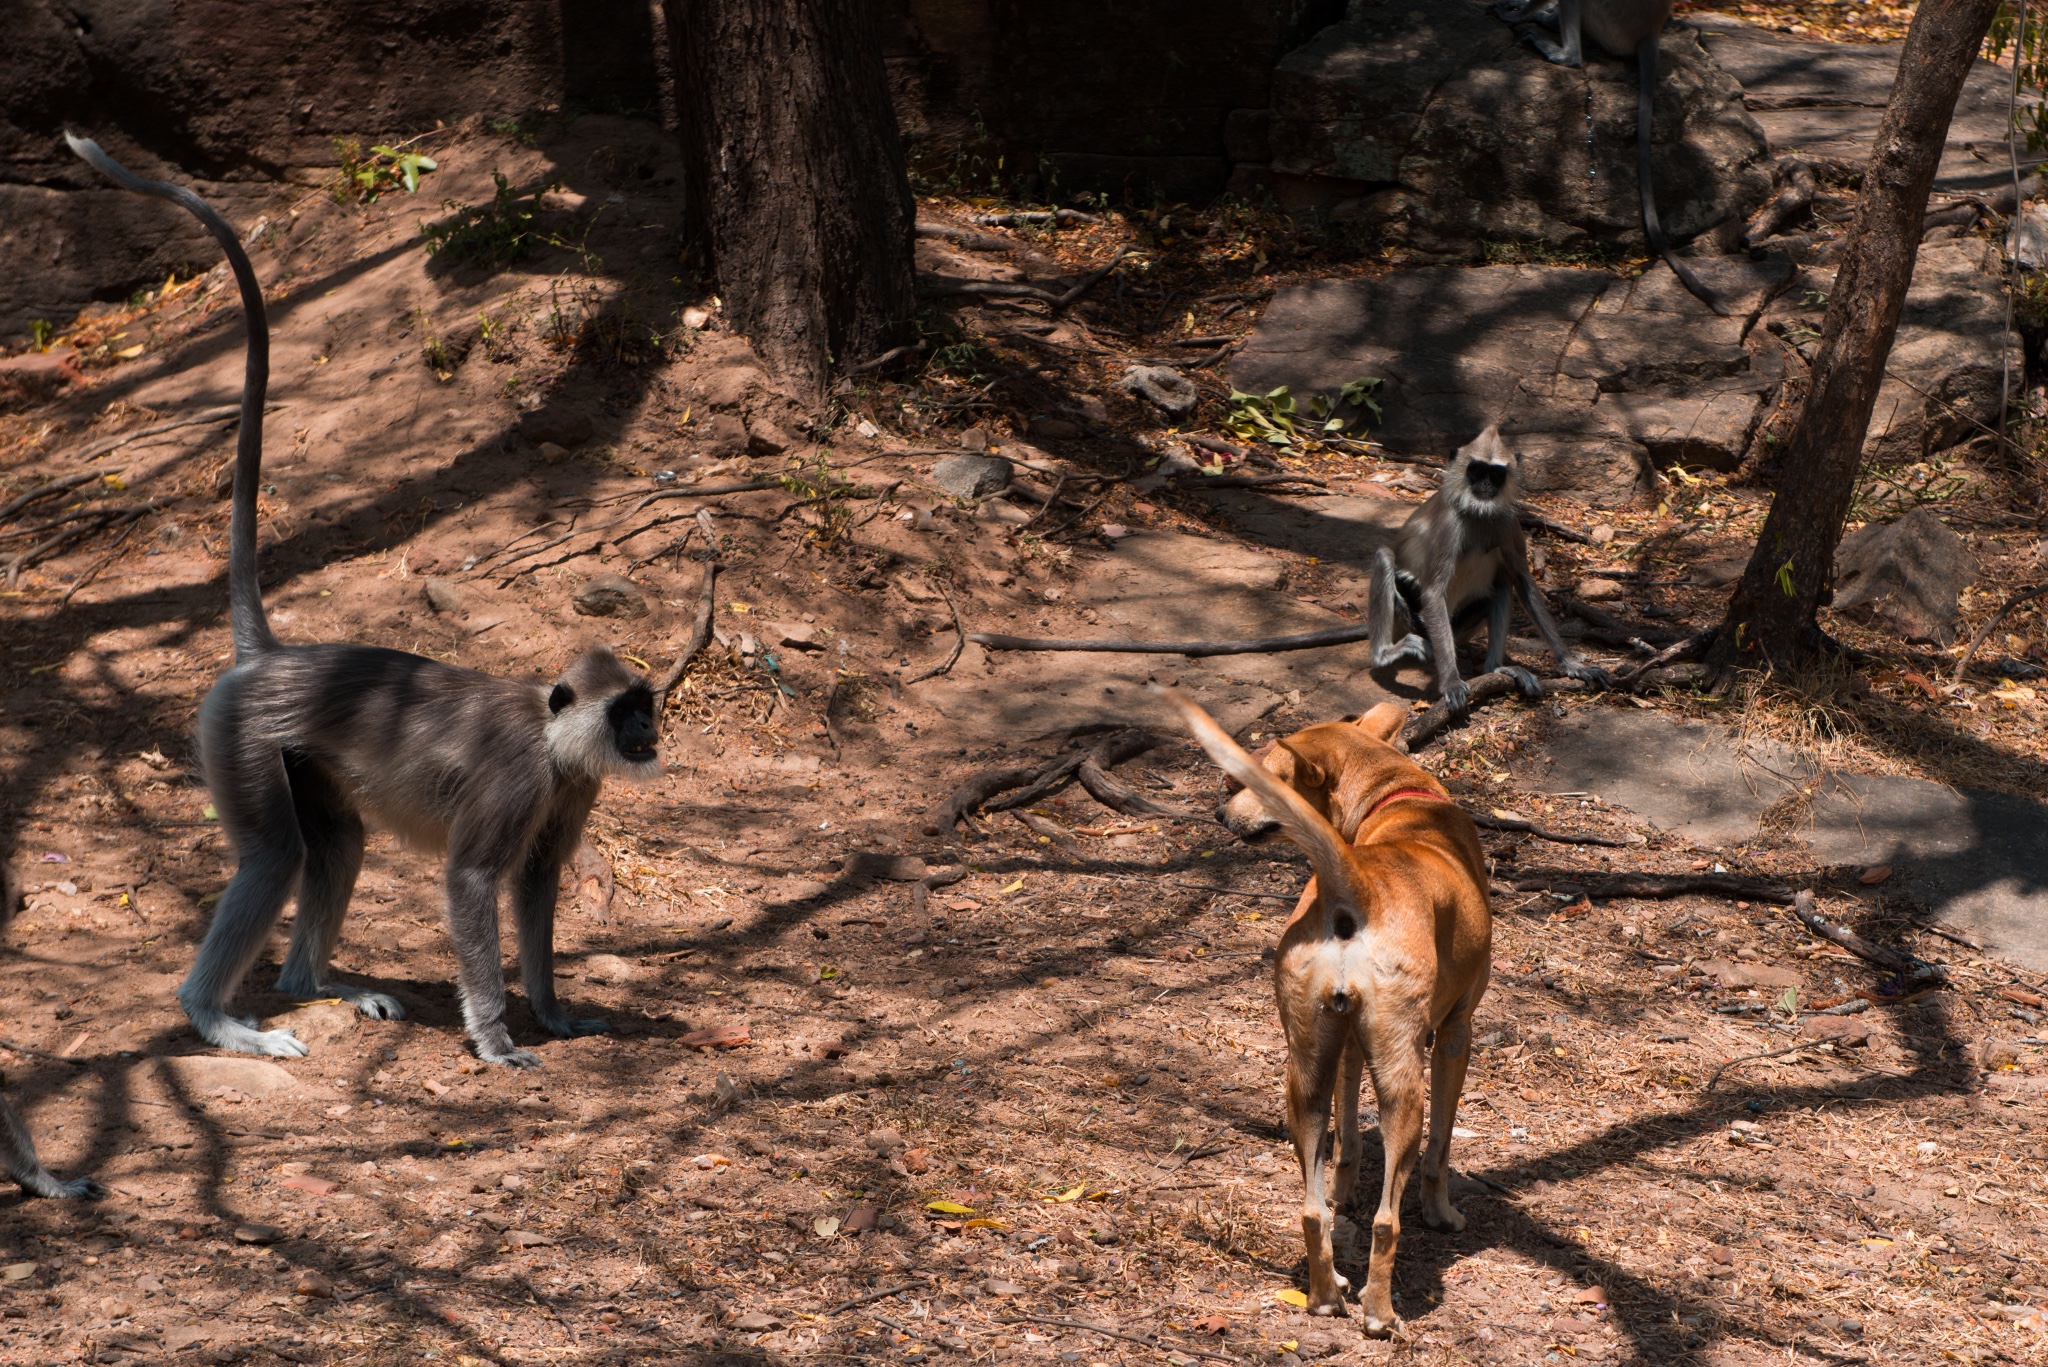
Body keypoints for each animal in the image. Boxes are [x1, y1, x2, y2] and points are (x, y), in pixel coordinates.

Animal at [68, 136, 659, 1065]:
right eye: (627, 711)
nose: (647, 735)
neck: (549, 728)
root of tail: (270, 657)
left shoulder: (569, 787)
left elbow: (536, 886)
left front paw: (557, 1014)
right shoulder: (521, 777)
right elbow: (473, 880)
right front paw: (495, 1037)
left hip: (297, 756)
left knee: (336, 845)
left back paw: (314, 985)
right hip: (239, 737)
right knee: (275, 856)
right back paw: (216, 1017)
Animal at [1171, 696, 1490, 1336]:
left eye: (1261, 774)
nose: (1220, 809)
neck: (1400, 798)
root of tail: (1356, 882)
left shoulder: (1345, 1045)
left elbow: (1344, 1146)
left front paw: (1344, 1189)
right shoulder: (1455, 1033)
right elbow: (1441, 1150)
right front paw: (1442, 1213)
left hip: (1304, 1075)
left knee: (1311, 1209)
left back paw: (1325, 1294)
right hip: (1403, 1085)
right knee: (1387, 1220)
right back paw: (1378, 1313)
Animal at [1368, 428, 1605, 717]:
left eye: (1495, 474)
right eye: (1477, 470)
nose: (1486, 485)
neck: (1477, 513)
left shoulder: (1507, 520)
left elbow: (1524, 583)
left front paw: (1572, 663)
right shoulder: (1450, 523)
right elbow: (1433, 592)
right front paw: (1451, 682)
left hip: (1458, 628)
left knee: (1503, 582)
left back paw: (1495, 669)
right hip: (1413, 620)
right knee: (1384, 555)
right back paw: (1383, 655)